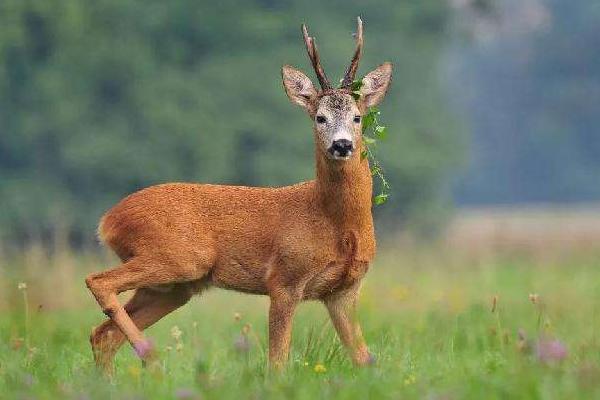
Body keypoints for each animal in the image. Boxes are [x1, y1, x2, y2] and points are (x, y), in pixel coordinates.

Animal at [85, 16, 394, 372]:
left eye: (357, 117)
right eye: (320, 117)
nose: (341, 145)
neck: (337, 224)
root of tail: (108, 220)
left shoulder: (343, 291)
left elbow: (364, 359)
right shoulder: (284, 279)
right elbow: (277, 361)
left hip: (172, 286)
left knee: (103, 334)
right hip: (176, 257)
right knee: (98, 282)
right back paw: (152, 357)